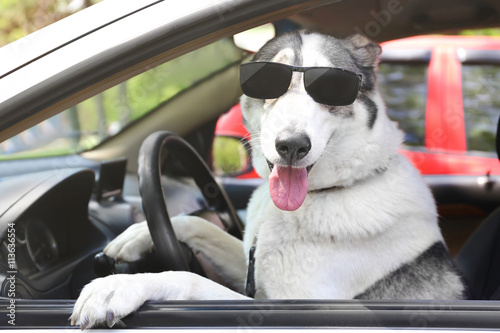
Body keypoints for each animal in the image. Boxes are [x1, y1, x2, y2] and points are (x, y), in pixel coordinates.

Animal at [72, 31, 466, 330]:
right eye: (266, 79)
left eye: (332, 86)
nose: (291, 145)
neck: (327, 193)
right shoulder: (251, 263)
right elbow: (201, 226)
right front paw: (135, 235)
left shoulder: (300, 309)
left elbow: (190, 279)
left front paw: (119, 285)